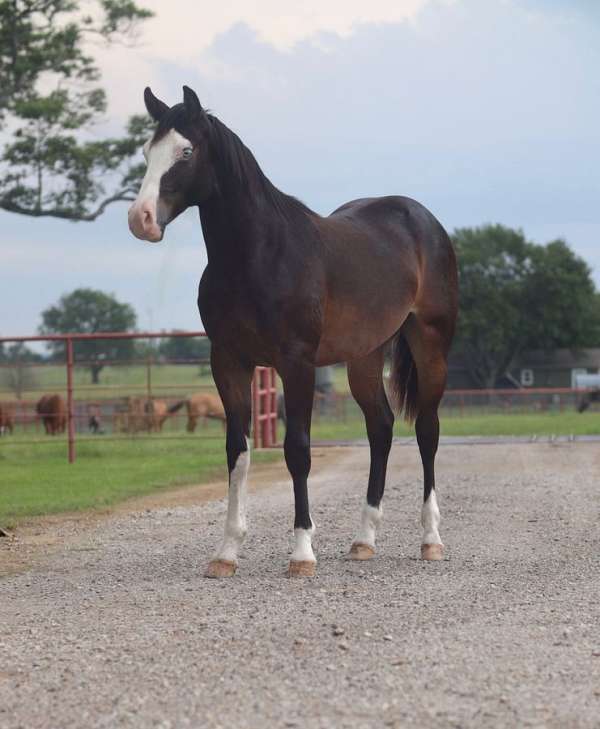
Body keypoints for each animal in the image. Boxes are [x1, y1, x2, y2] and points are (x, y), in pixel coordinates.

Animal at [128, 86, 458, 578]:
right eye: (148, 152)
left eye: (186, 152)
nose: (142, 218)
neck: (259, 255)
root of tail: (422, 220)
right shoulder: (228, 361)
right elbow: (237, 450)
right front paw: (226, 552)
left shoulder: (296, 362)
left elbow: (298, 450)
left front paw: (302, 553)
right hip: (364, 355)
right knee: (380, 428)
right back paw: (364, 540)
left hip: (431, 345)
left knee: (427, 432)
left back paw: (431, 540)